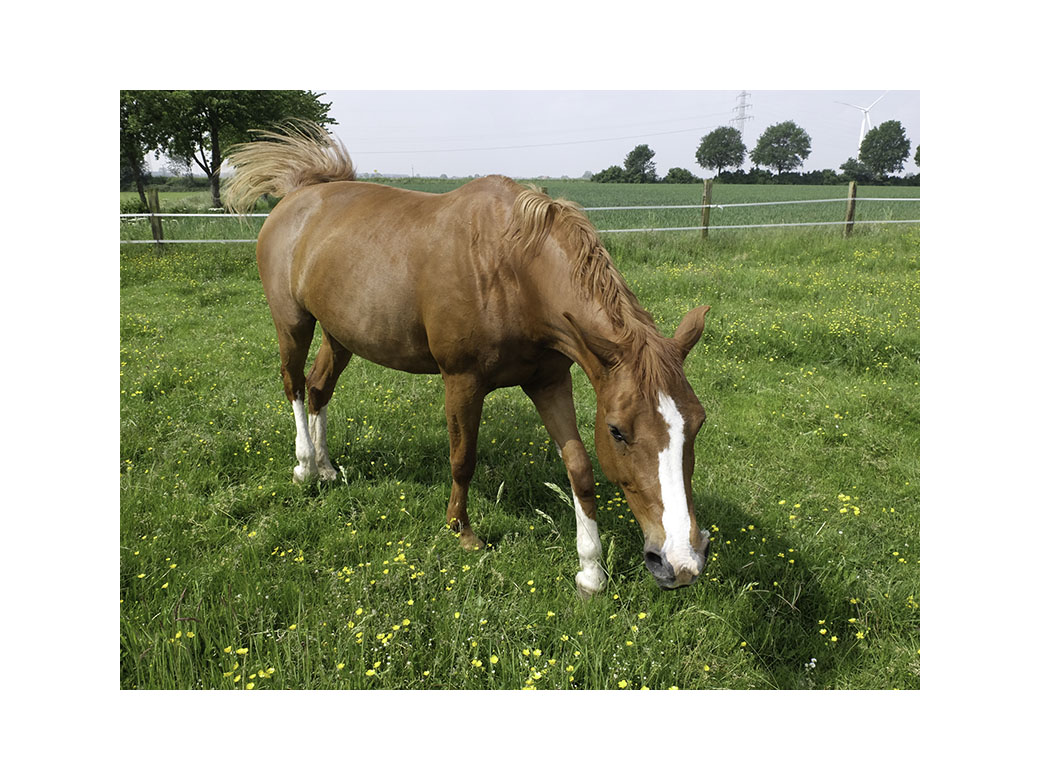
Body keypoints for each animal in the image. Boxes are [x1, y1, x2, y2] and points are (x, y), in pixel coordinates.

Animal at [225, 120, 712, 596]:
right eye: (617, 431)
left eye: (698, 423)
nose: (680, 563)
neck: (512, 269)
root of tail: (298, 195)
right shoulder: (461, 381)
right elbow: (463, 458)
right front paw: (462, 531)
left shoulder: (549, 381)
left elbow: (578, 467)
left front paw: (590, 572)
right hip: (293, 323)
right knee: (293, 383)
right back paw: (306, 466)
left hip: (340, 333)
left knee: (318, 387)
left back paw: (327, 467)